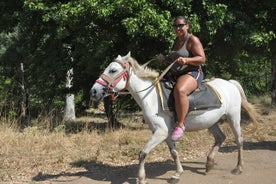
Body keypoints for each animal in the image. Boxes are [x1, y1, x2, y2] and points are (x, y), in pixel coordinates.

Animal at [91, 52, 258, 184]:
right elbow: (174, 153)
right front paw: (177, 174)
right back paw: (209, 164)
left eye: (113, 70)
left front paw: (142, 178)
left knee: (239, 139)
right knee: (220, 137)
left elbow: (143, 153)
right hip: (211, 121)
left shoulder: (161, 132)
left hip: (233, 117)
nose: (94, 91)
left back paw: (238, 168)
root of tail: (230, 83)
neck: (151, 96)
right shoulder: (165, 133)